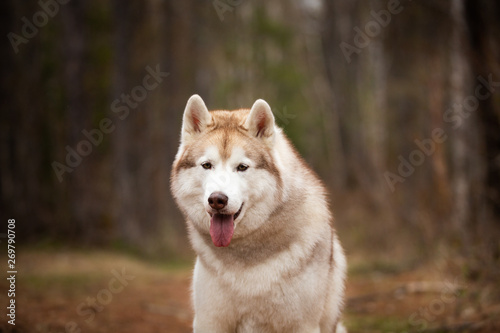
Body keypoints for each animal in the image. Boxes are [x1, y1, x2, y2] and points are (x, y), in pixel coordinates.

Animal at [170, 94, 346, 332]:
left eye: (242, 167)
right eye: (207, 165)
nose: (217, 199)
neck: (247, 258)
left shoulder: (302, 324)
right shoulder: (210, 321)